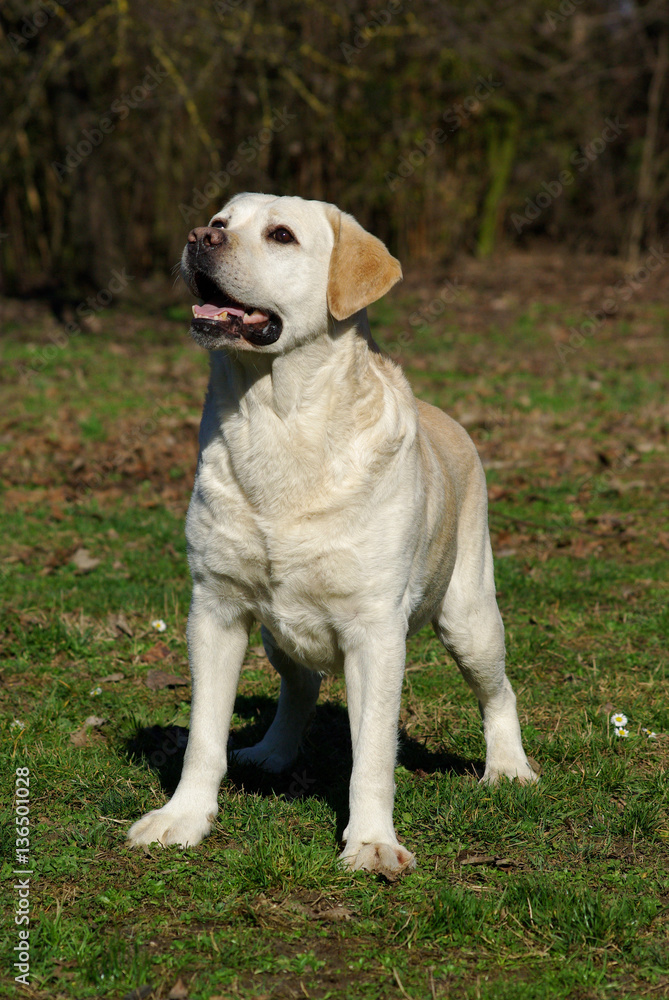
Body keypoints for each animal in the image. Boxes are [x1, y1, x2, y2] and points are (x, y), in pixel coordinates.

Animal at [126, 191, 536, 872]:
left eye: (281, 235)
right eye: (220, 222)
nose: (197, 238)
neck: (277, 420)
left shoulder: (375, 630)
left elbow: (371, 754)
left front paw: (371, 842)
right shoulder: (215, 609)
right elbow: (204, 738)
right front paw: (182, 819)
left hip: (470, 617)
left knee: (497, 691)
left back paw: (509, 768)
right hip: (275, 632)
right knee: (300, 685)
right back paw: (271, 752)